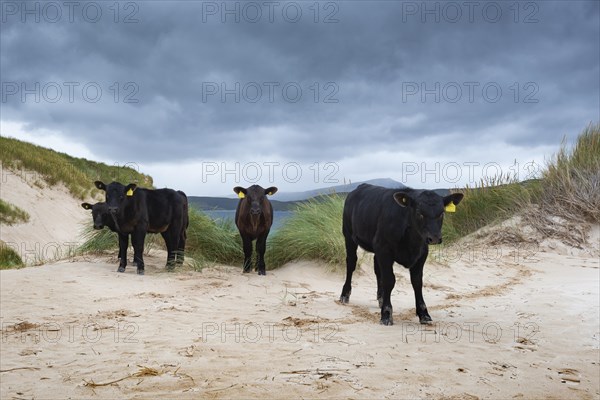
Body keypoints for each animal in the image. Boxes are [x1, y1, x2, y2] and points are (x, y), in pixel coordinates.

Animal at [338, 184, 464, 324]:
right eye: (419, 213)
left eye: (441, 213)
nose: (435, 238)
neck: (411, 242)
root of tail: (360, 187)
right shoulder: (384, 250)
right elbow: (389, 280)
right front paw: (386, 314)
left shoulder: (421, 254)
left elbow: (417, 282)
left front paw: (424, 314)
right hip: (348, 235)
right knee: (351, 263)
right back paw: (345, 295)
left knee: (377, 269)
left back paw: (381, 298)